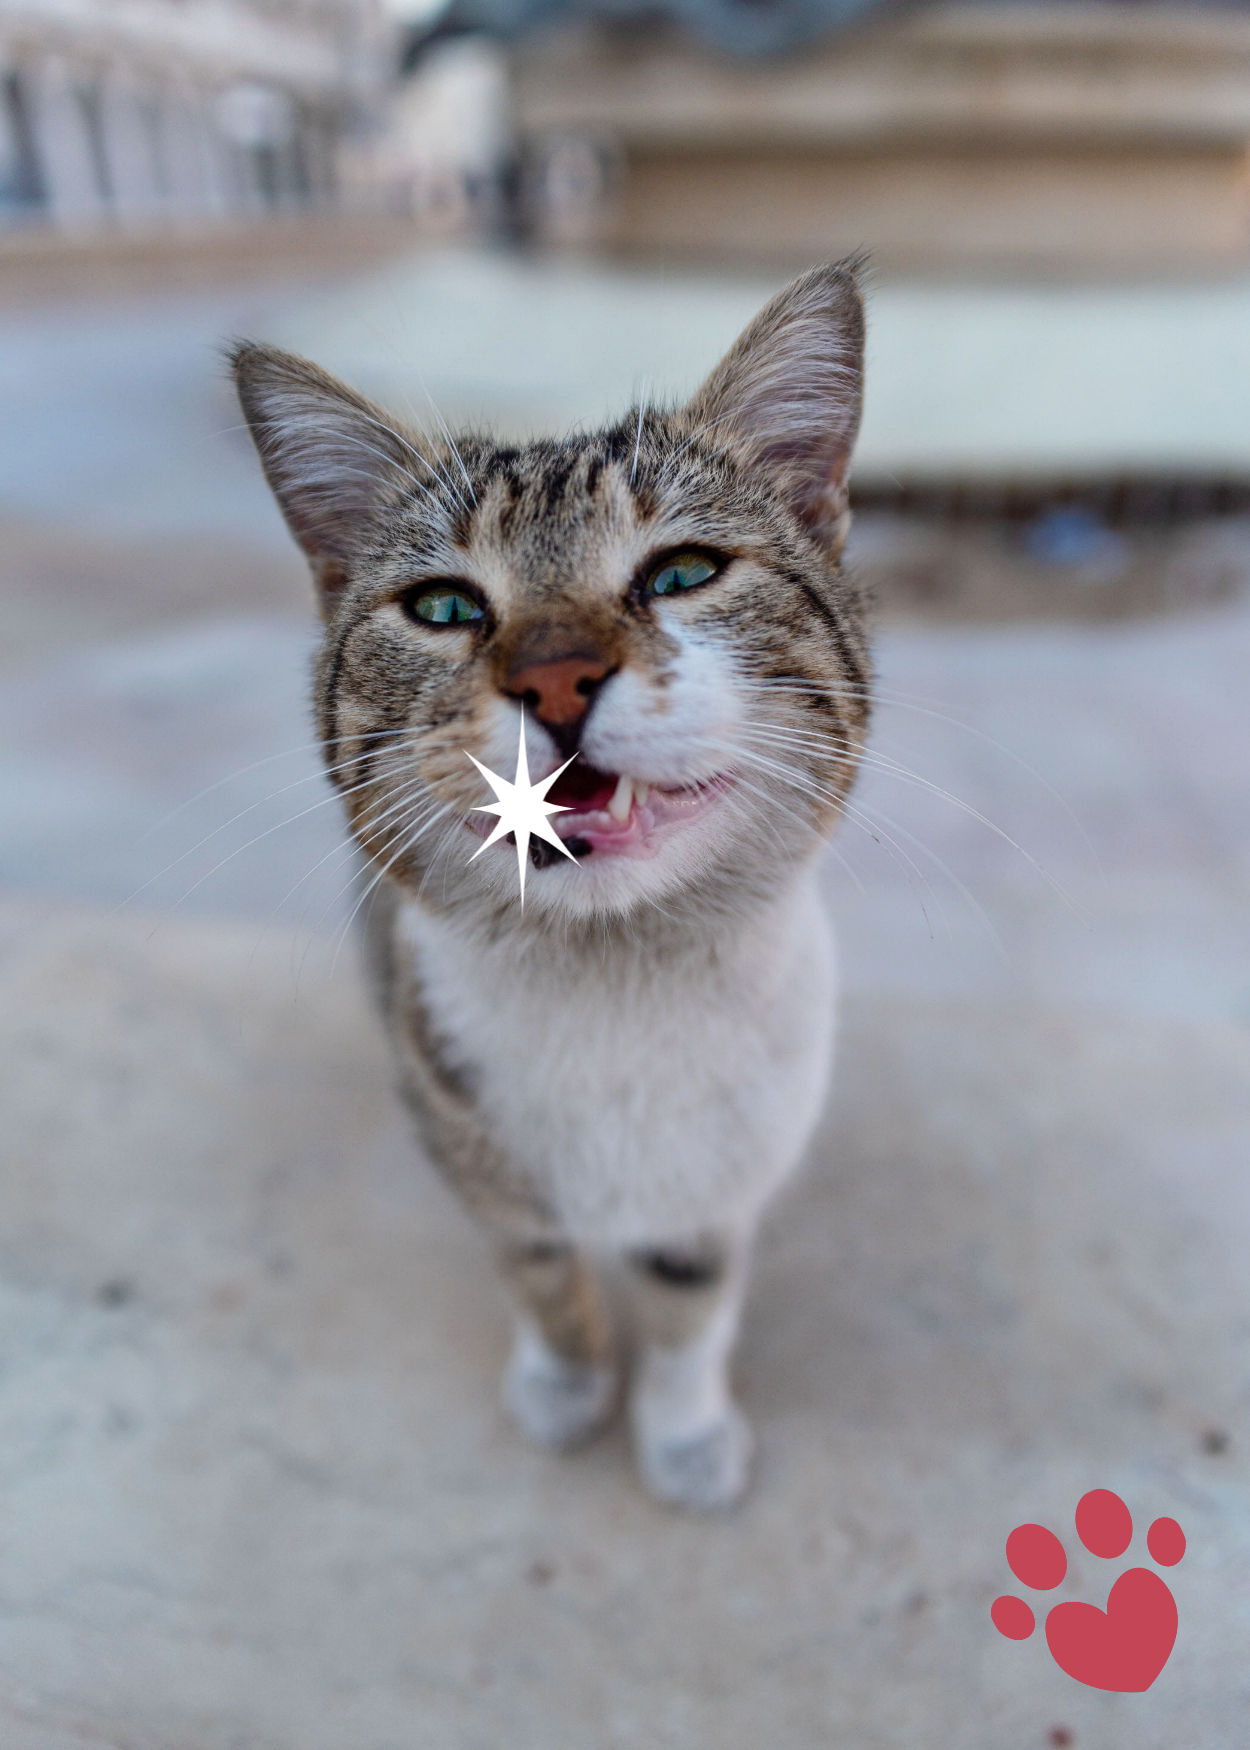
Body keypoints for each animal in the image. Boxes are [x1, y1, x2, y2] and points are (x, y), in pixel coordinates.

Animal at [231, 259, 868, 1505]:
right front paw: (567, 1381)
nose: (557, 673)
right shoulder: (460, 1120)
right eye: (441, 605)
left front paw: (680, 1428)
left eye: (682, 572)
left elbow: (690, 1296)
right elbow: (534, 1267)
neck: (613, 985)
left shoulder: (725, 1165)